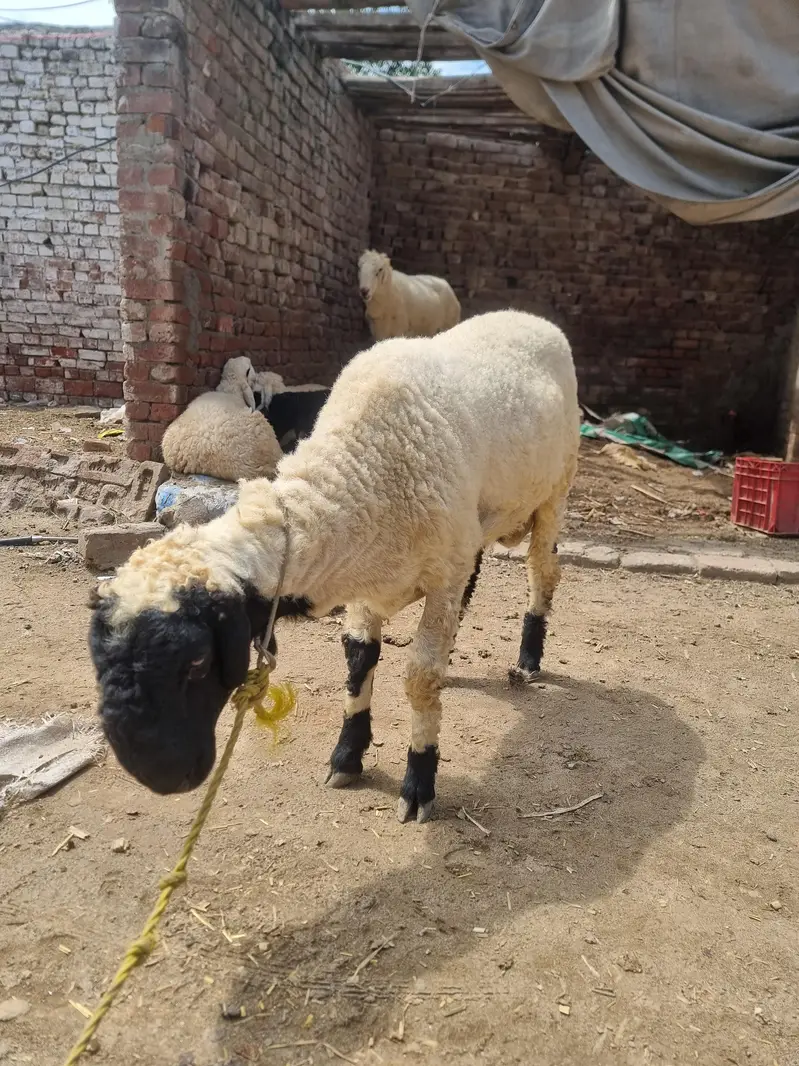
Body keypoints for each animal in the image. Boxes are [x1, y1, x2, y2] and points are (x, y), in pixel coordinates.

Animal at [89, 310, 579, 823]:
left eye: (198, 662)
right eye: (98, 661)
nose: (156, 774)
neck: (358, 468)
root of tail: (529, 317)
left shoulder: (442, 573)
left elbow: (420, 676)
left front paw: (419, 781)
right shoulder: (368, 575)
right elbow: (359, 658)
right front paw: (347, 756)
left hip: (555, 490)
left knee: (543, 573)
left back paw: (528, 660)